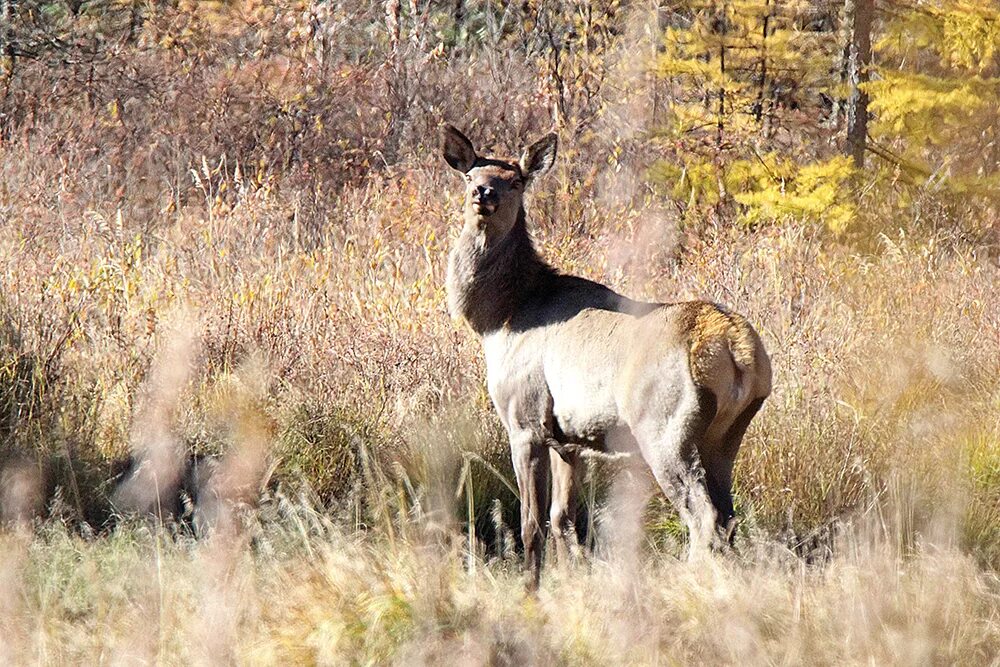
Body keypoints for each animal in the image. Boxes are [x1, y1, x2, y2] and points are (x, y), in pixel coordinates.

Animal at [440, 125, 772, 588]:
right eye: (470, 175)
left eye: (516, 181)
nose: (484, 193)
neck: (501, 318)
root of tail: (738, 350)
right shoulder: (568, 439)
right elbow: (562, 517)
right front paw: (570, 580)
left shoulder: (524, 419)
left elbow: (530, 523)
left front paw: (530, 587)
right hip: (728, 433)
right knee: (727, 516)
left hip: (665, 426)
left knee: (702, 516)